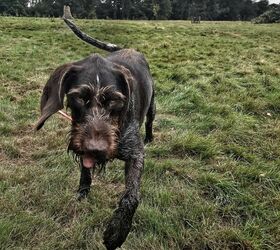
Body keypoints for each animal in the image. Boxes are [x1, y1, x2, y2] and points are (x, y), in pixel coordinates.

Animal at [35, 10, 155, 250]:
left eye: (114, 100)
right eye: (79, 97)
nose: (96, 150)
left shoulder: (135, 154)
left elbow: (132, 196)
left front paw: (117, 232)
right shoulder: (82, 144)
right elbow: (85, 173)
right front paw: (83, 193)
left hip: (152, 107)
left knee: (149, 122)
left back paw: (150, 136)